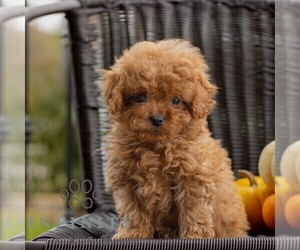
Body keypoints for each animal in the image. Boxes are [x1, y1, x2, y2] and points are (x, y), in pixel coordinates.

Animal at [102, 39, 250, 238]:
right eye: (140, 96)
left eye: (176, 101)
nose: (157, 119)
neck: (156, 147)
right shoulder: (126, 178)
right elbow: (132, 211)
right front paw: (131, 234)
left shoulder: (193, 176)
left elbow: (194, 211)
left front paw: (195, 236)